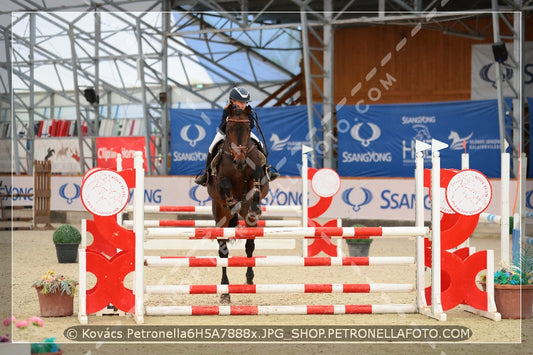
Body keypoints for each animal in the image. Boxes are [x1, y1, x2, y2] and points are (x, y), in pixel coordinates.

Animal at [206, 104, 268, 304]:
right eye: (229, 129)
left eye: (248, 128)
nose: (239, 161)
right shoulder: (221, 180)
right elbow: (225, 184)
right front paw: (232, 202)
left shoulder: (257, 173)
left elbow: (255, 184)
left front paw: (255, 205)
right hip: (220, 217)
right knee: (223, 252)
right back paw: (225, 291)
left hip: (250, 222)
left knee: (250, 246)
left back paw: (249, 279)